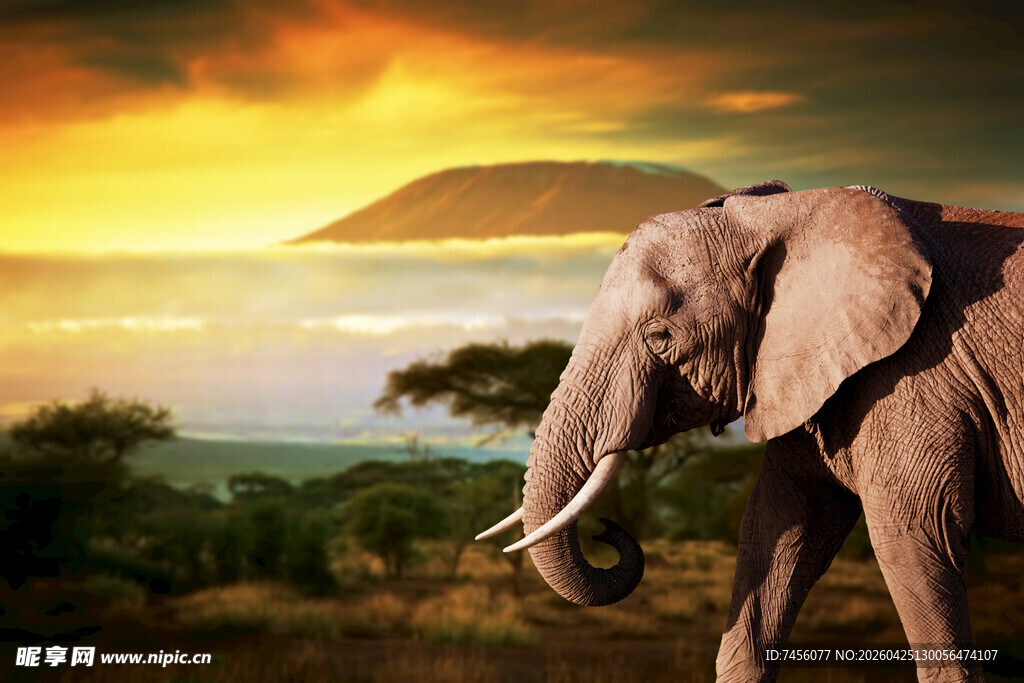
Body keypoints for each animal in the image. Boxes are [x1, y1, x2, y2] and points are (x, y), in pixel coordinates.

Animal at [476, 181, 1024, 681]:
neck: (778, 216)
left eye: (660, 336)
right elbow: (780, 528)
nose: (605, 531)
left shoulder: (918, 373)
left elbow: (913, 534)